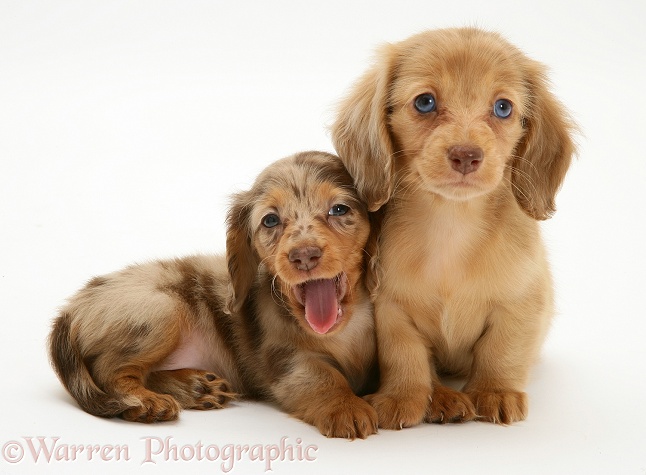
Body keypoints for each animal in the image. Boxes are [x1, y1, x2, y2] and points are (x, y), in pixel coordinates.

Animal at [52, 152, 384, 438]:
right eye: (270, 220)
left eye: (339, 209)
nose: (304, 256)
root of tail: (70, 308)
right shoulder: (288, 359)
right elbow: (325, 378)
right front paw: (346, 406)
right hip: (163, 310)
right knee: (110, 370)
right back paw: (146, 402)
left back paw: (195, 387)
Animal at [334, 27, 576, 430]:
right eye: (425, 102)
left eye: (503, 108)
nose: (466, 155)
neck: (451, 224)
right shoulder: (392, 310)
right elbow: (407, 357)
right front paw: (403, 397)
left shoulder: (520, 304)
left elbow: (501, 350)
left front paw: (495, 391)